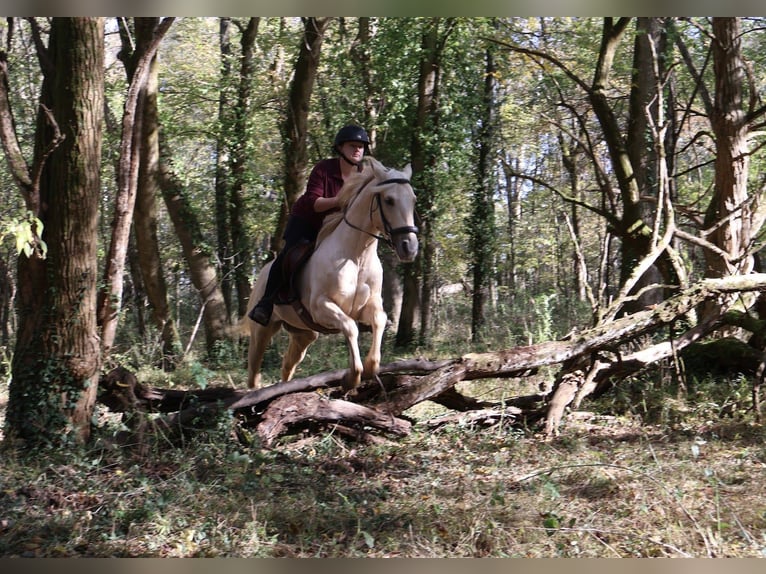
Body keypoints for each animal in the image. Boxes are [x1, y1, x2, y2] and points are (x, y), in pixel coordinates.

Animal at [245, 157, 419, 391]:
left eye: (413, 200)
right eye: (389, 200)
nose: (409, 247)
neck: (357, 256)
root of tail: (261, 274)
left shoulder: (369, 305)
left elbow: (379, 320)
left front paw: (370, 367)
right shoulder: (322, 307)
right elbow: (350, 327)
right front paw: (352, 377)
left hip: (303, 333)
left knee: (288, 364)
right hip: (261, 331)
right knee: (253, 371)